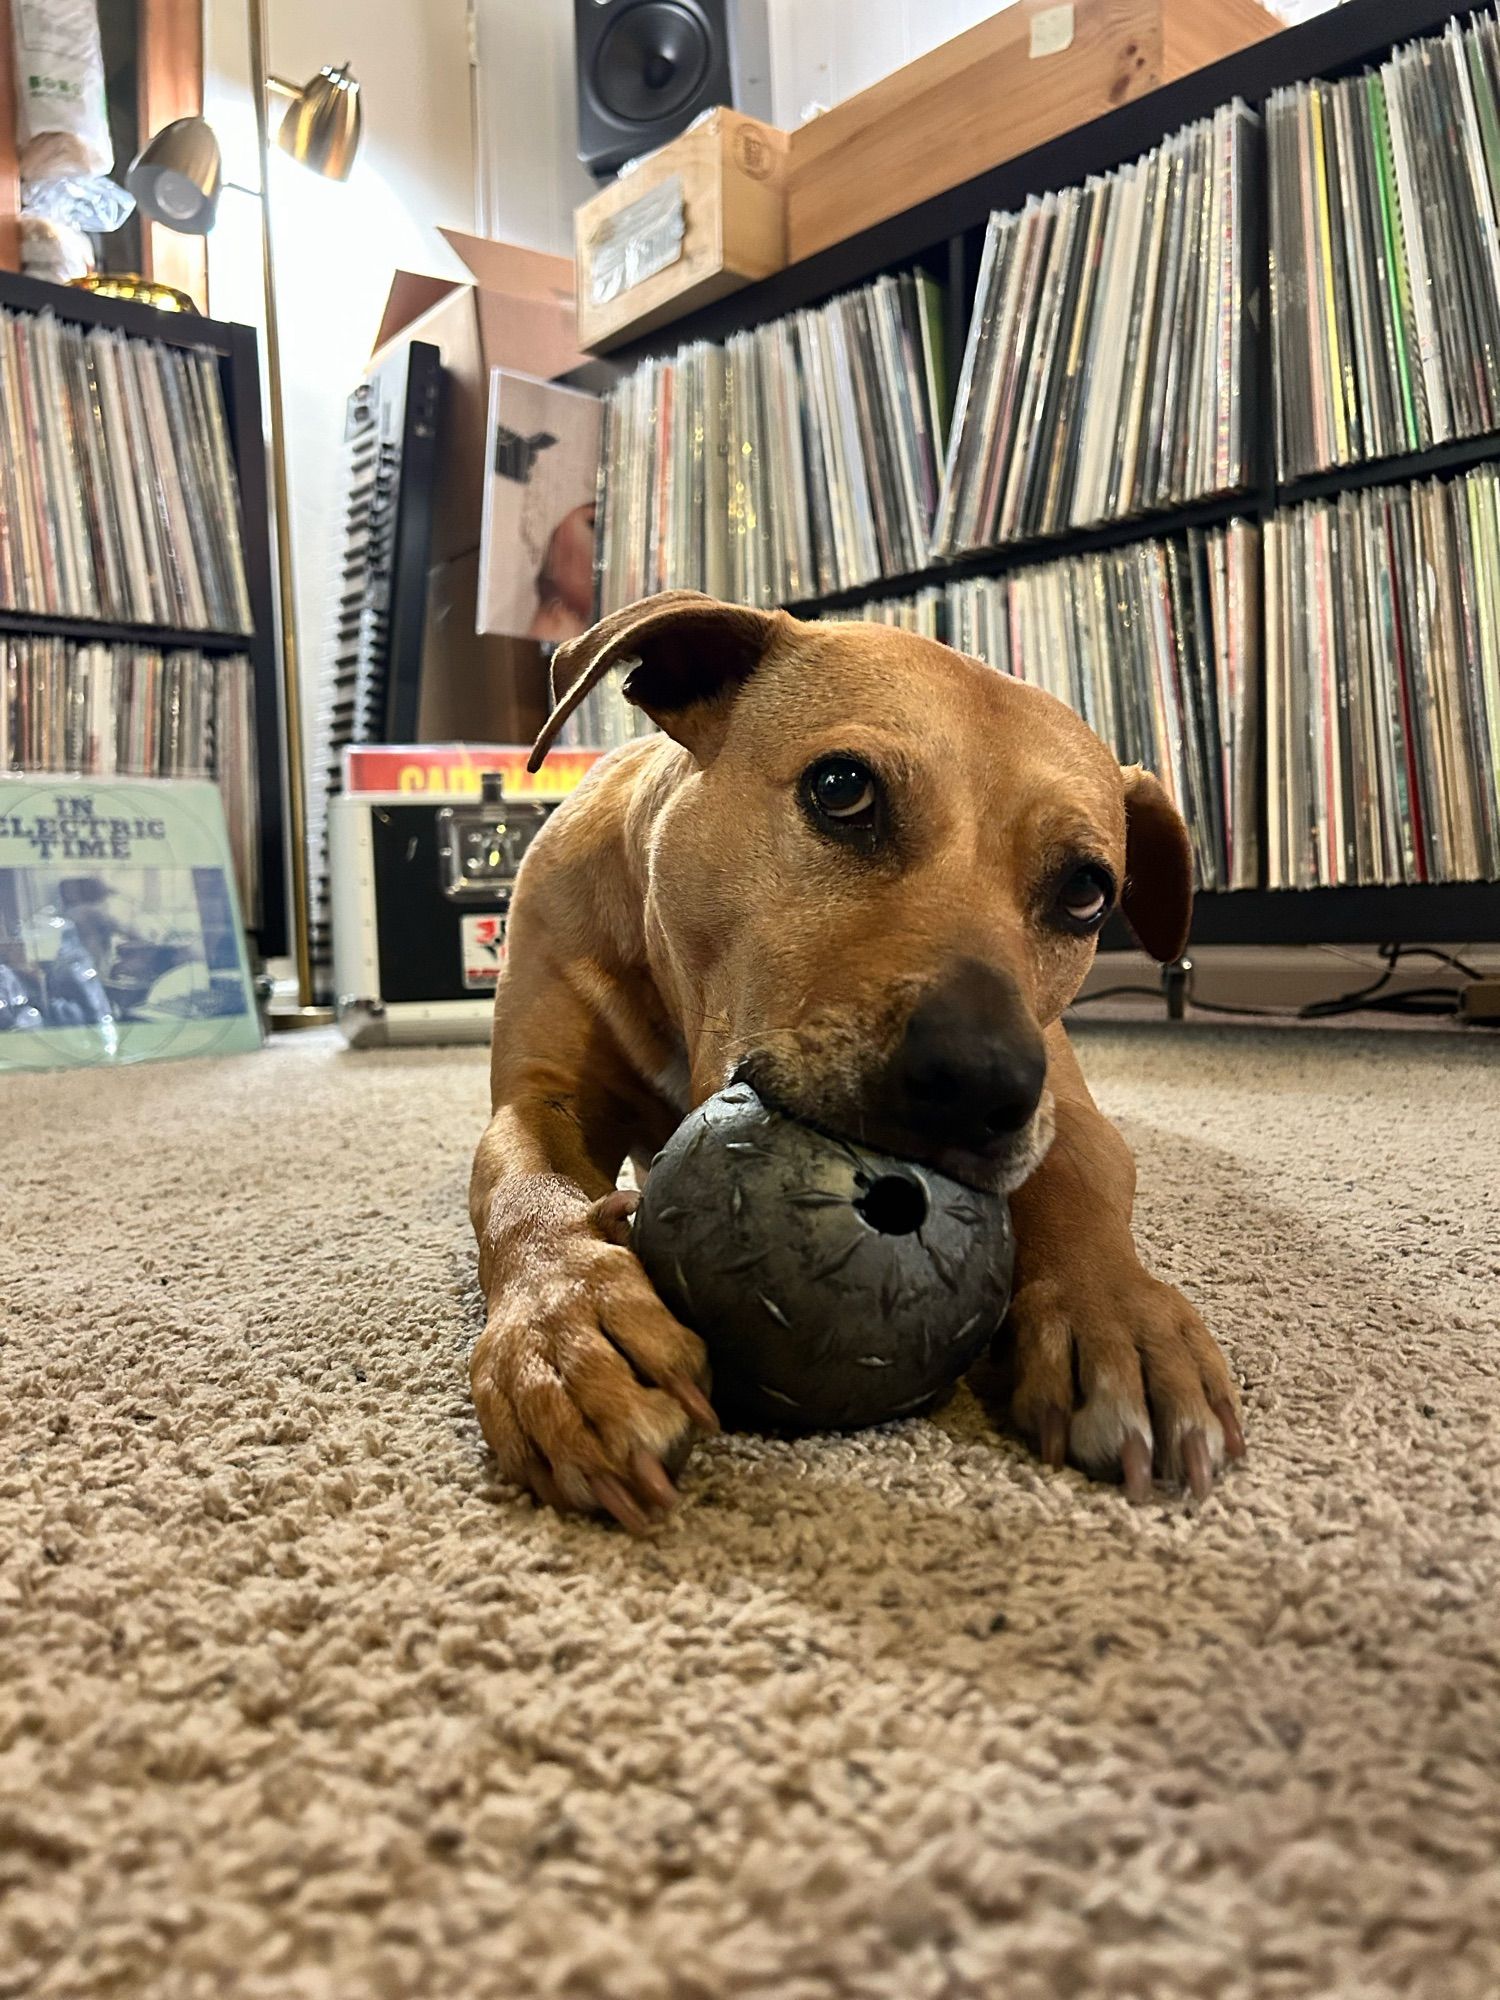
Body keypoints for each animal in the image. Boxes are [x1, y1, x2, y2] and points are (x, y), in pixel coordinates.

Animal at [470, 592, 1248, 1528]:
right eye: (842, 789)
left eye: (1087, 891)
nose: (980, 1084)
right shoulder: (539, 1095)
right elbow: (522, 1184)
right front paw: (568, 1328)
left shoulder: (1062, 1099)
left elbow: (1079, 1172)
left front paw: (1120, 1319)